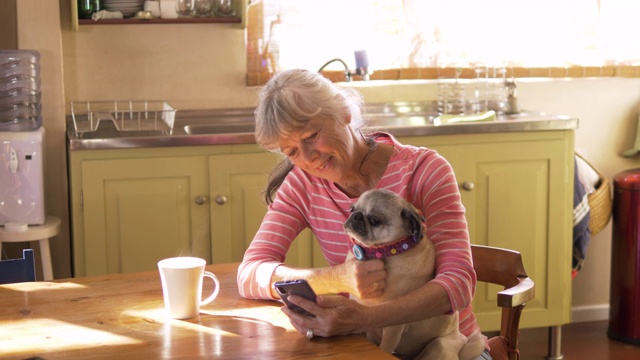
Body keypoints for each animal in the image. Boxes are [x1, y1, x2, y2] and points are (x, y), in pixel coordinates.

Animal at [344, 190, 484, 358]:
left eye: (374, 220)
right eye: (351, 209)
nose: (355, 216)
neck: (387, 251)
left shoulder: (392, 328)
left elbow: (384, 348)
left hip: (439, 346)